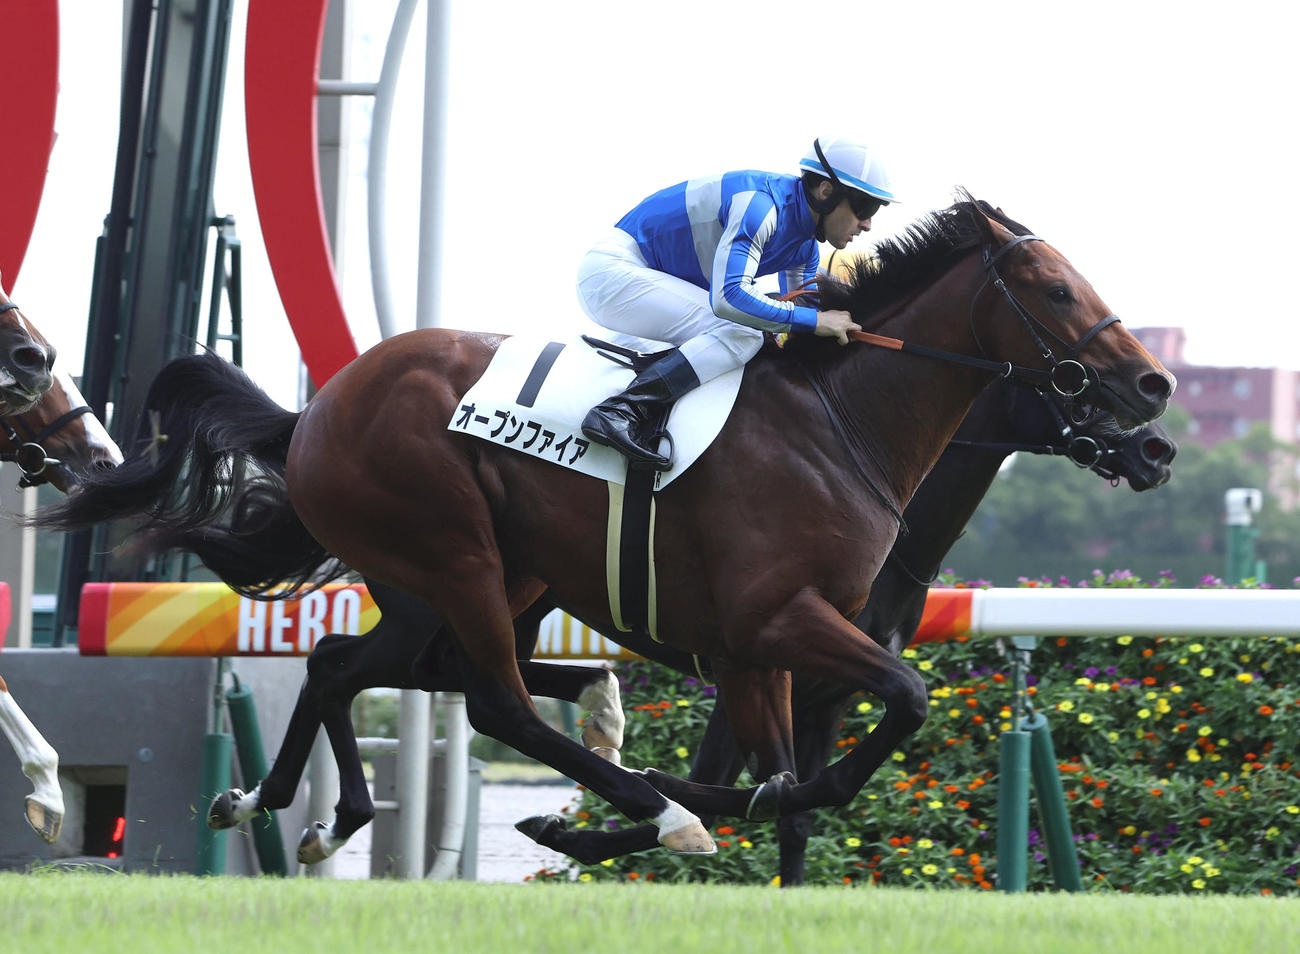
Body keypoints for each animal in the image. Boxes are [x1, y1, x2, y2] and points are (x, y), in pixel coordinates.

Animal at [39, 197, 1174, 857]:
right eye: (1055, 288)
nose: (1156, 396)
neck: (835, 422)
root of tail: (315, 411)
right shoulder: (775, 625)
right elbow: (891, 710)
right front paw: (646, 810)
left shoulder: (763, 656)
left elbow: (794, 786)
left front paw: (679, 805)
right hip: (450, 550)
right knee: (492, 700)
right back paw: (646, 803)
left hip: (468, 580)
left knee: (344, 663)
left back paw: (291, 807)